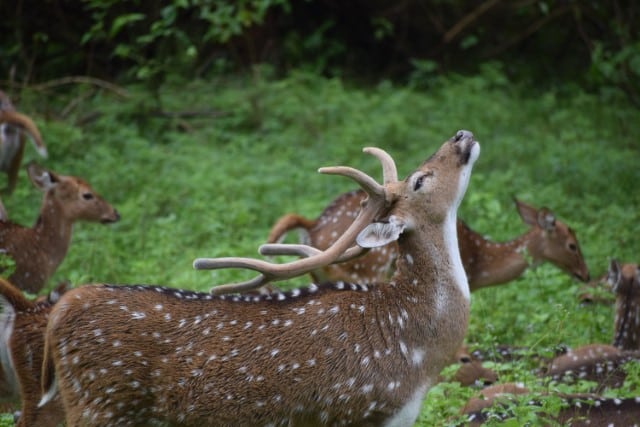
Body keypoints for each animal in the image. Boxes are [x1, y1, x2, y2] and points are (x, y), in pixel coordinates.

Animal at [40, 130, 478, 427]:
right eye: (420, 179)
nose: (461, 135)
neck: (417, 354)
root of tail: (63, 309)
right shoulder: (357, 411)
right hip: (101, 403)